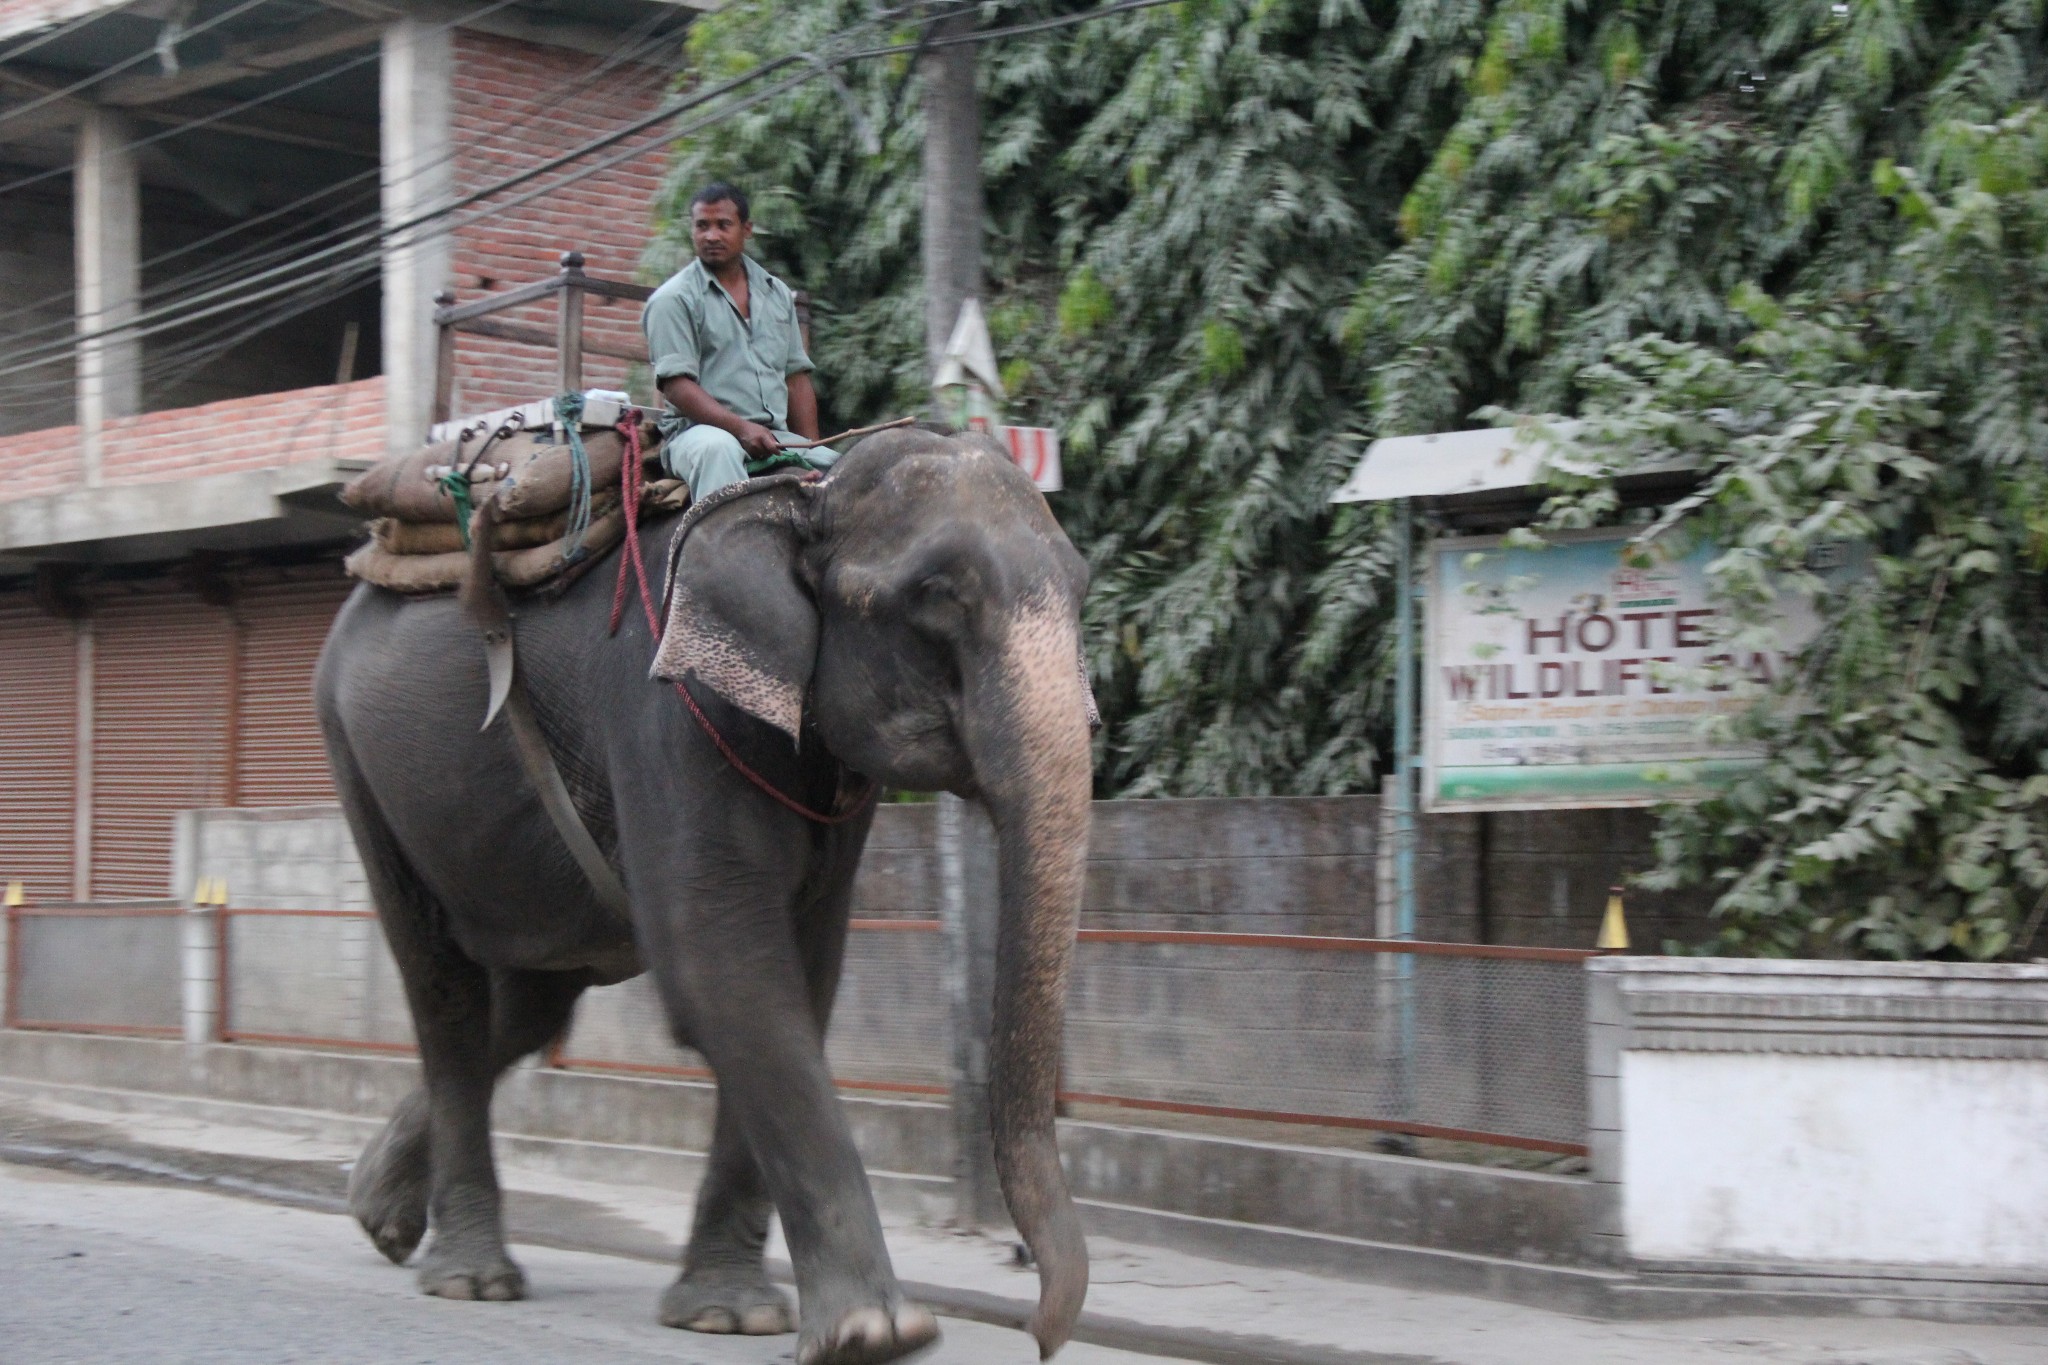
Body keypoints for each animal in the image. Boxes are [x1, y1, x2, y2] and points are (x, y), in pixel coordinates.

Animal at [311, 429, 1097, 1365]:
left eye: (1083, 587)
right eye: (937, 595)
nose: (1041, 1334)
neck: (799, 496)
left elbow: (804, 978)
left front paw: (733, 1317)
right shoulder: (668, 711)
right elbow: (724, 971)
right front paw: (876, 1333)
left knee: (529, 1004)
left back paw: (378, 1214)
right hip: (360, 764)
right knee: (447, 993)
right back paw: (471, 1278)